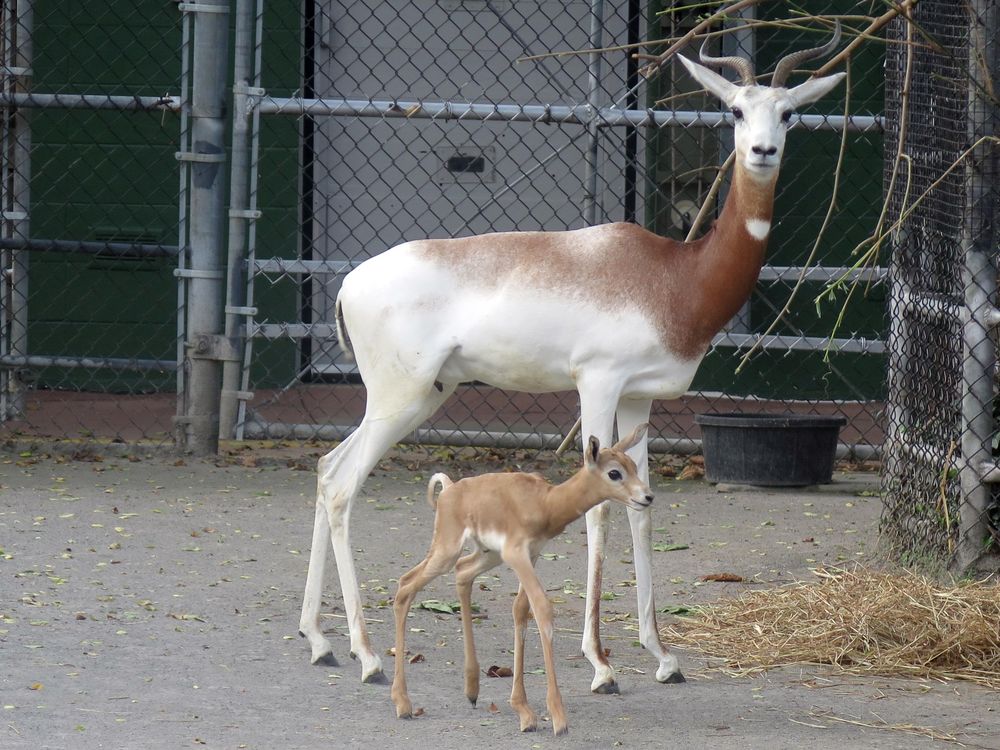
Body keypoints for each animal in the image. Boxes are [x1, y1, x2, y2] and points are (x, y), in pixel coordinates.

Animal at [390, 426, 656, 736]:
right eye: (614, 472)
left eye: (634, 466)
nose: (647, 496)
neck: (545, 502)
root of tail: (449, 490)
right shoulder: (516, 553)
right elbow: (542, 609)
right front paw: (558, 718)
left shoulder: (533, 553)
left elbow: (520, 611)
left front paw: (524, 710)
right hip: (447, 549)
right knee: (406, 585)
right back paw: (403, 704)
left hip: (486, 555)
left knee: (462, 572)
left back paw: (471, 690)